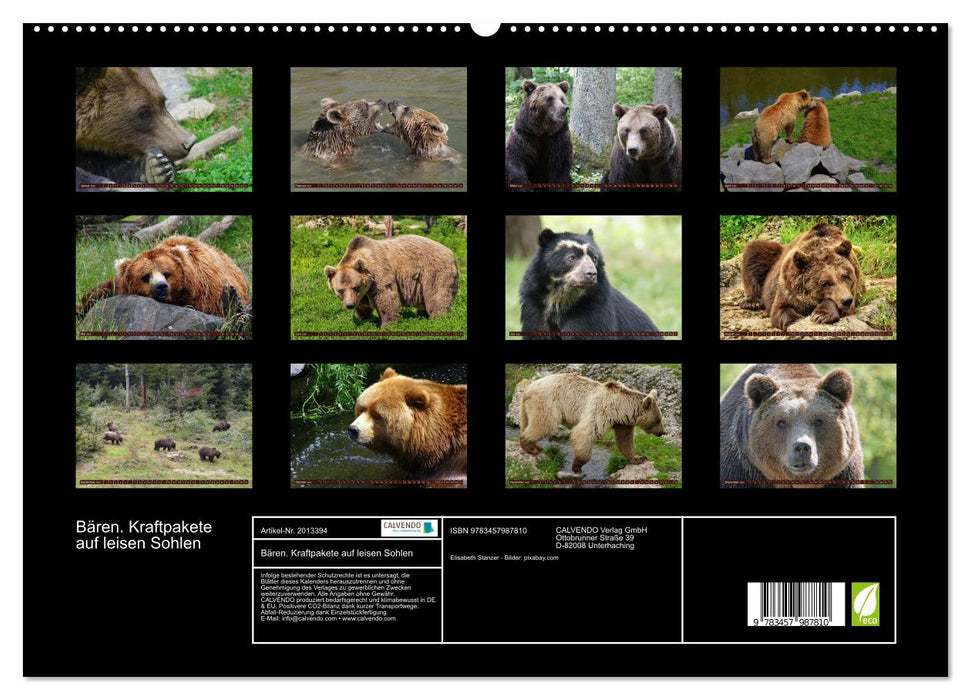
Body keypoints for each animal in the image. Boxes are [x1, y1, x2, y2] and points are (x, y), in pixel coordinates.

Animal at [325, 235, 459, 328]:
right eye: (340, 290)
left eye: (355, 287)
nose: (349, 305)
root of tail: (450, 252)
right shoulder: (364, 291)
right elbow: (363, 304)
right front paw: (363, 318)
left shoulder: (378, 275)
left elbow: (386, 297)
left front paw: (386, 324)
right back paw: (421, 315)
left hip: (433, 271)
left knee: (437, 295)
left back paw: (438, 318)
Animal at [518, 373, 665, 478]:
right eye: (658, 420)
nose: (662, 432)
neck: (621, 408)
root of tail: (528, 389)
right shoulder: (601, 410)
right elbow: (584, 432)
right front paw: (577, 466)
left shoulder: (623, 423)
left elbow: (625, 441)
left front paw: (639, 458)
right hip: (547, 403)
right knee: (545, 424)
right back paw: (529, 446)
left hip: (528, 408)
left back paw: (536, 446)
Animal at [519, 228, 661, 340]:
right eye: (572, 258)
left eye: (594, 258)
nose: (591, 273)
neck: (561, 296)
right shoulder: (535, 306)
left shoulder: (592, 307)